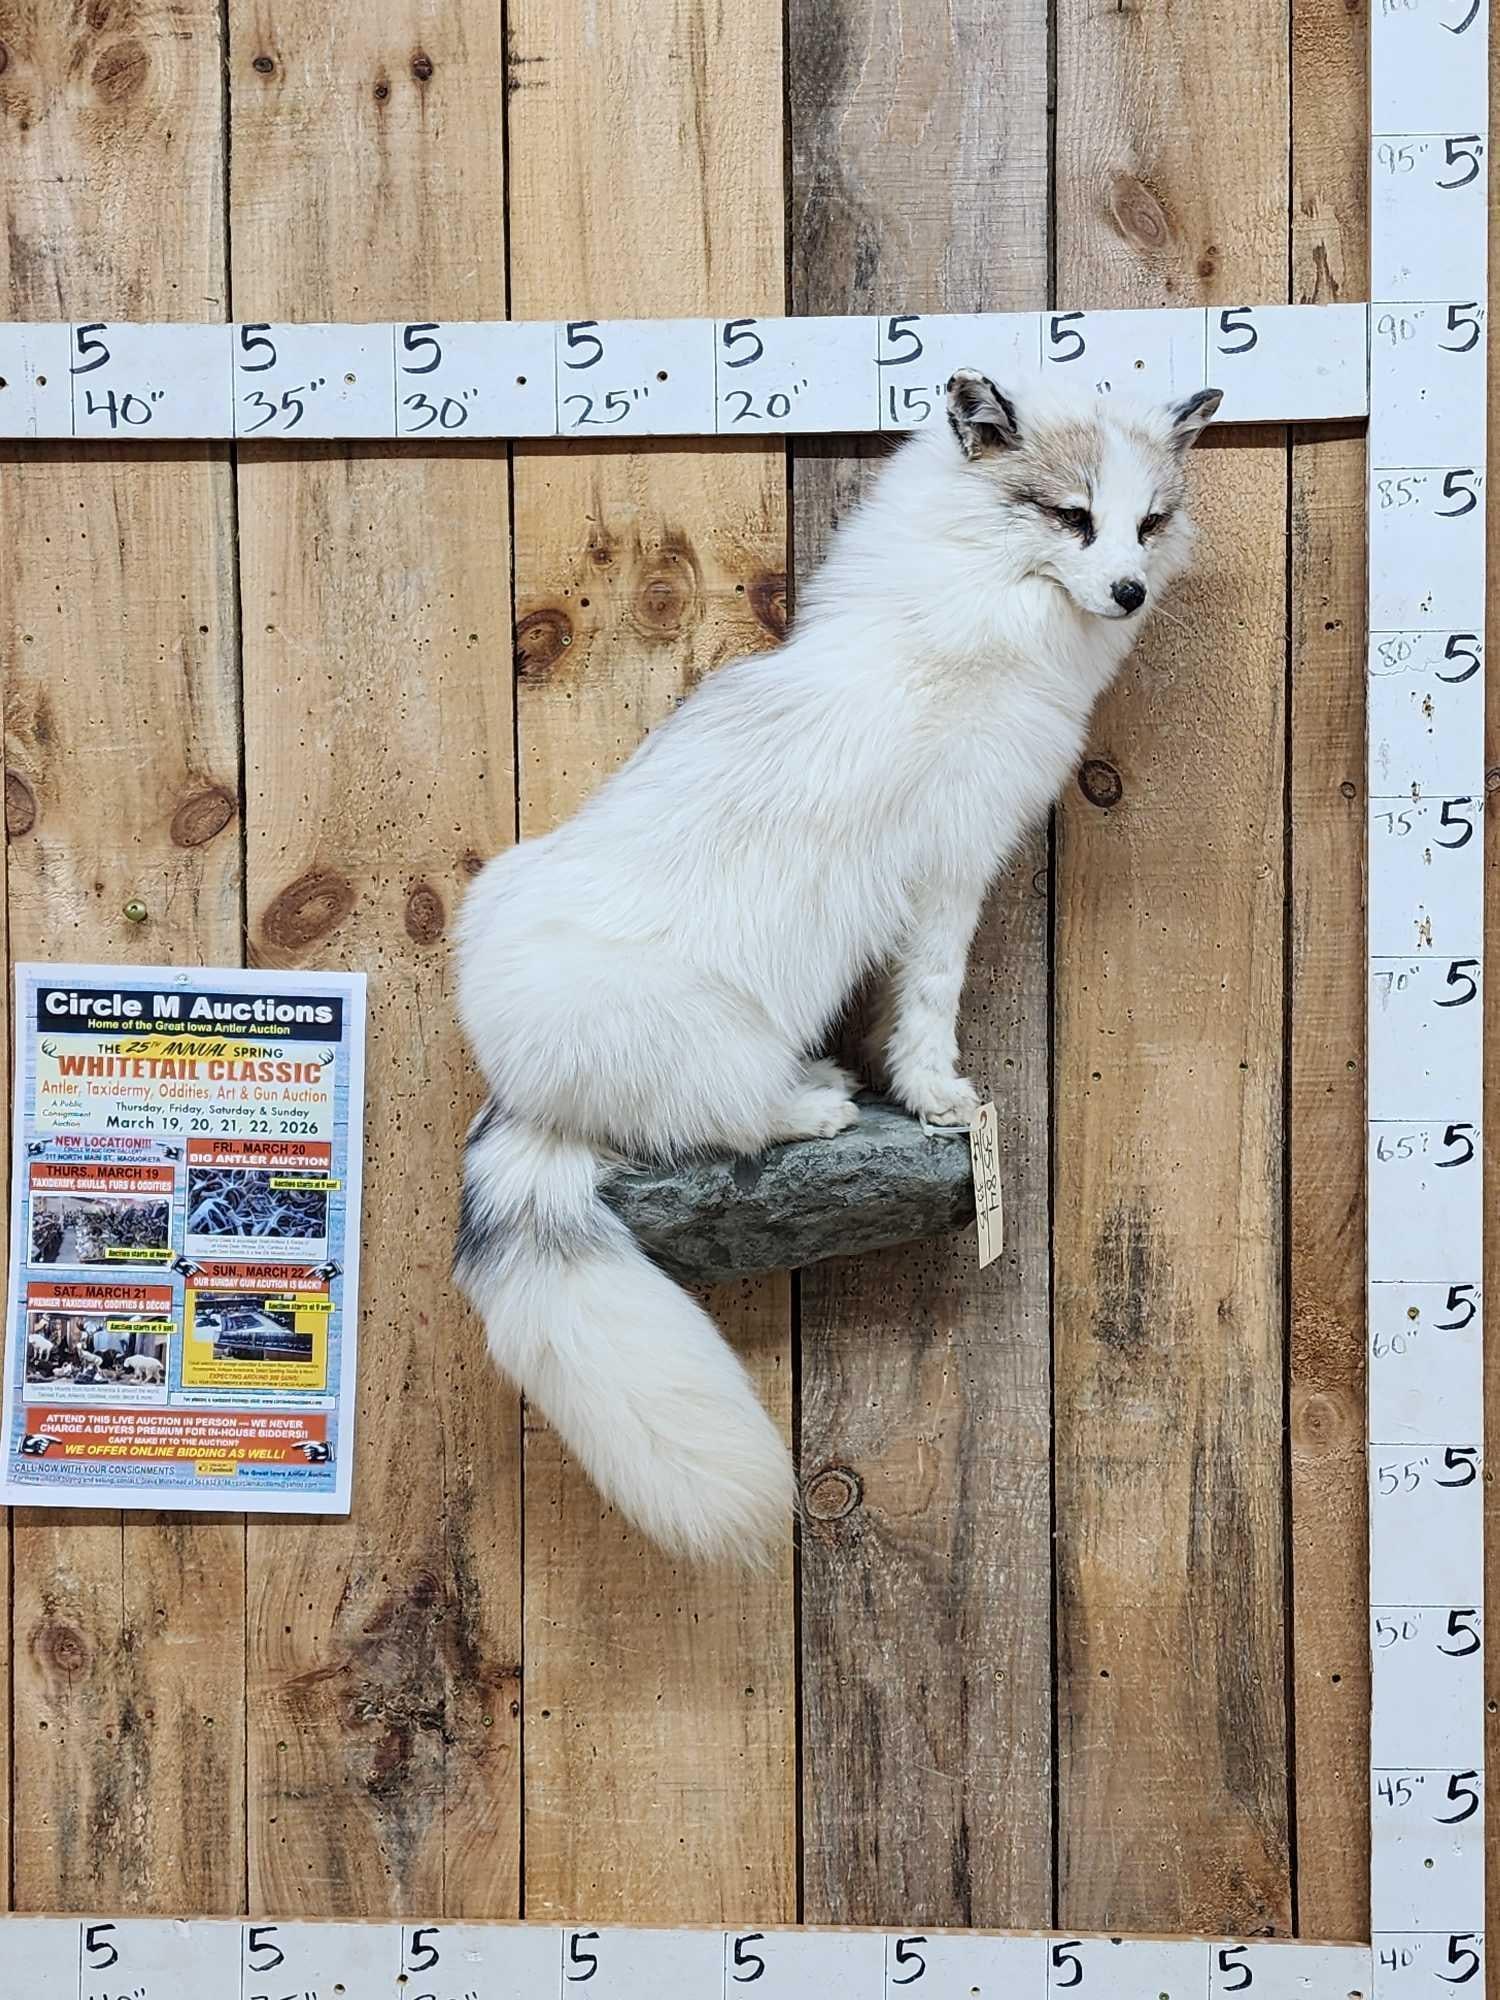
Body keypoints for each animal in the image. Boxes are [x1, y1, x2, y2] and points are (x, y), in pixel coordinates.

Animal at [454, 371, 1222, 1565]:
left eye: (1149, 521)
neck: (966, 617)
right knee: (705, 1122)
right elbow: (931, 1004)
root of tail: (520, 1088)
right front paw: (938, 1096)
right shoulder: (951, 871)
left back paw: (815, 1079)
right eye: (1070, 516)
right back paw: (807, 1110)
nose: (1131, 590)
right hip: (698, 1040)